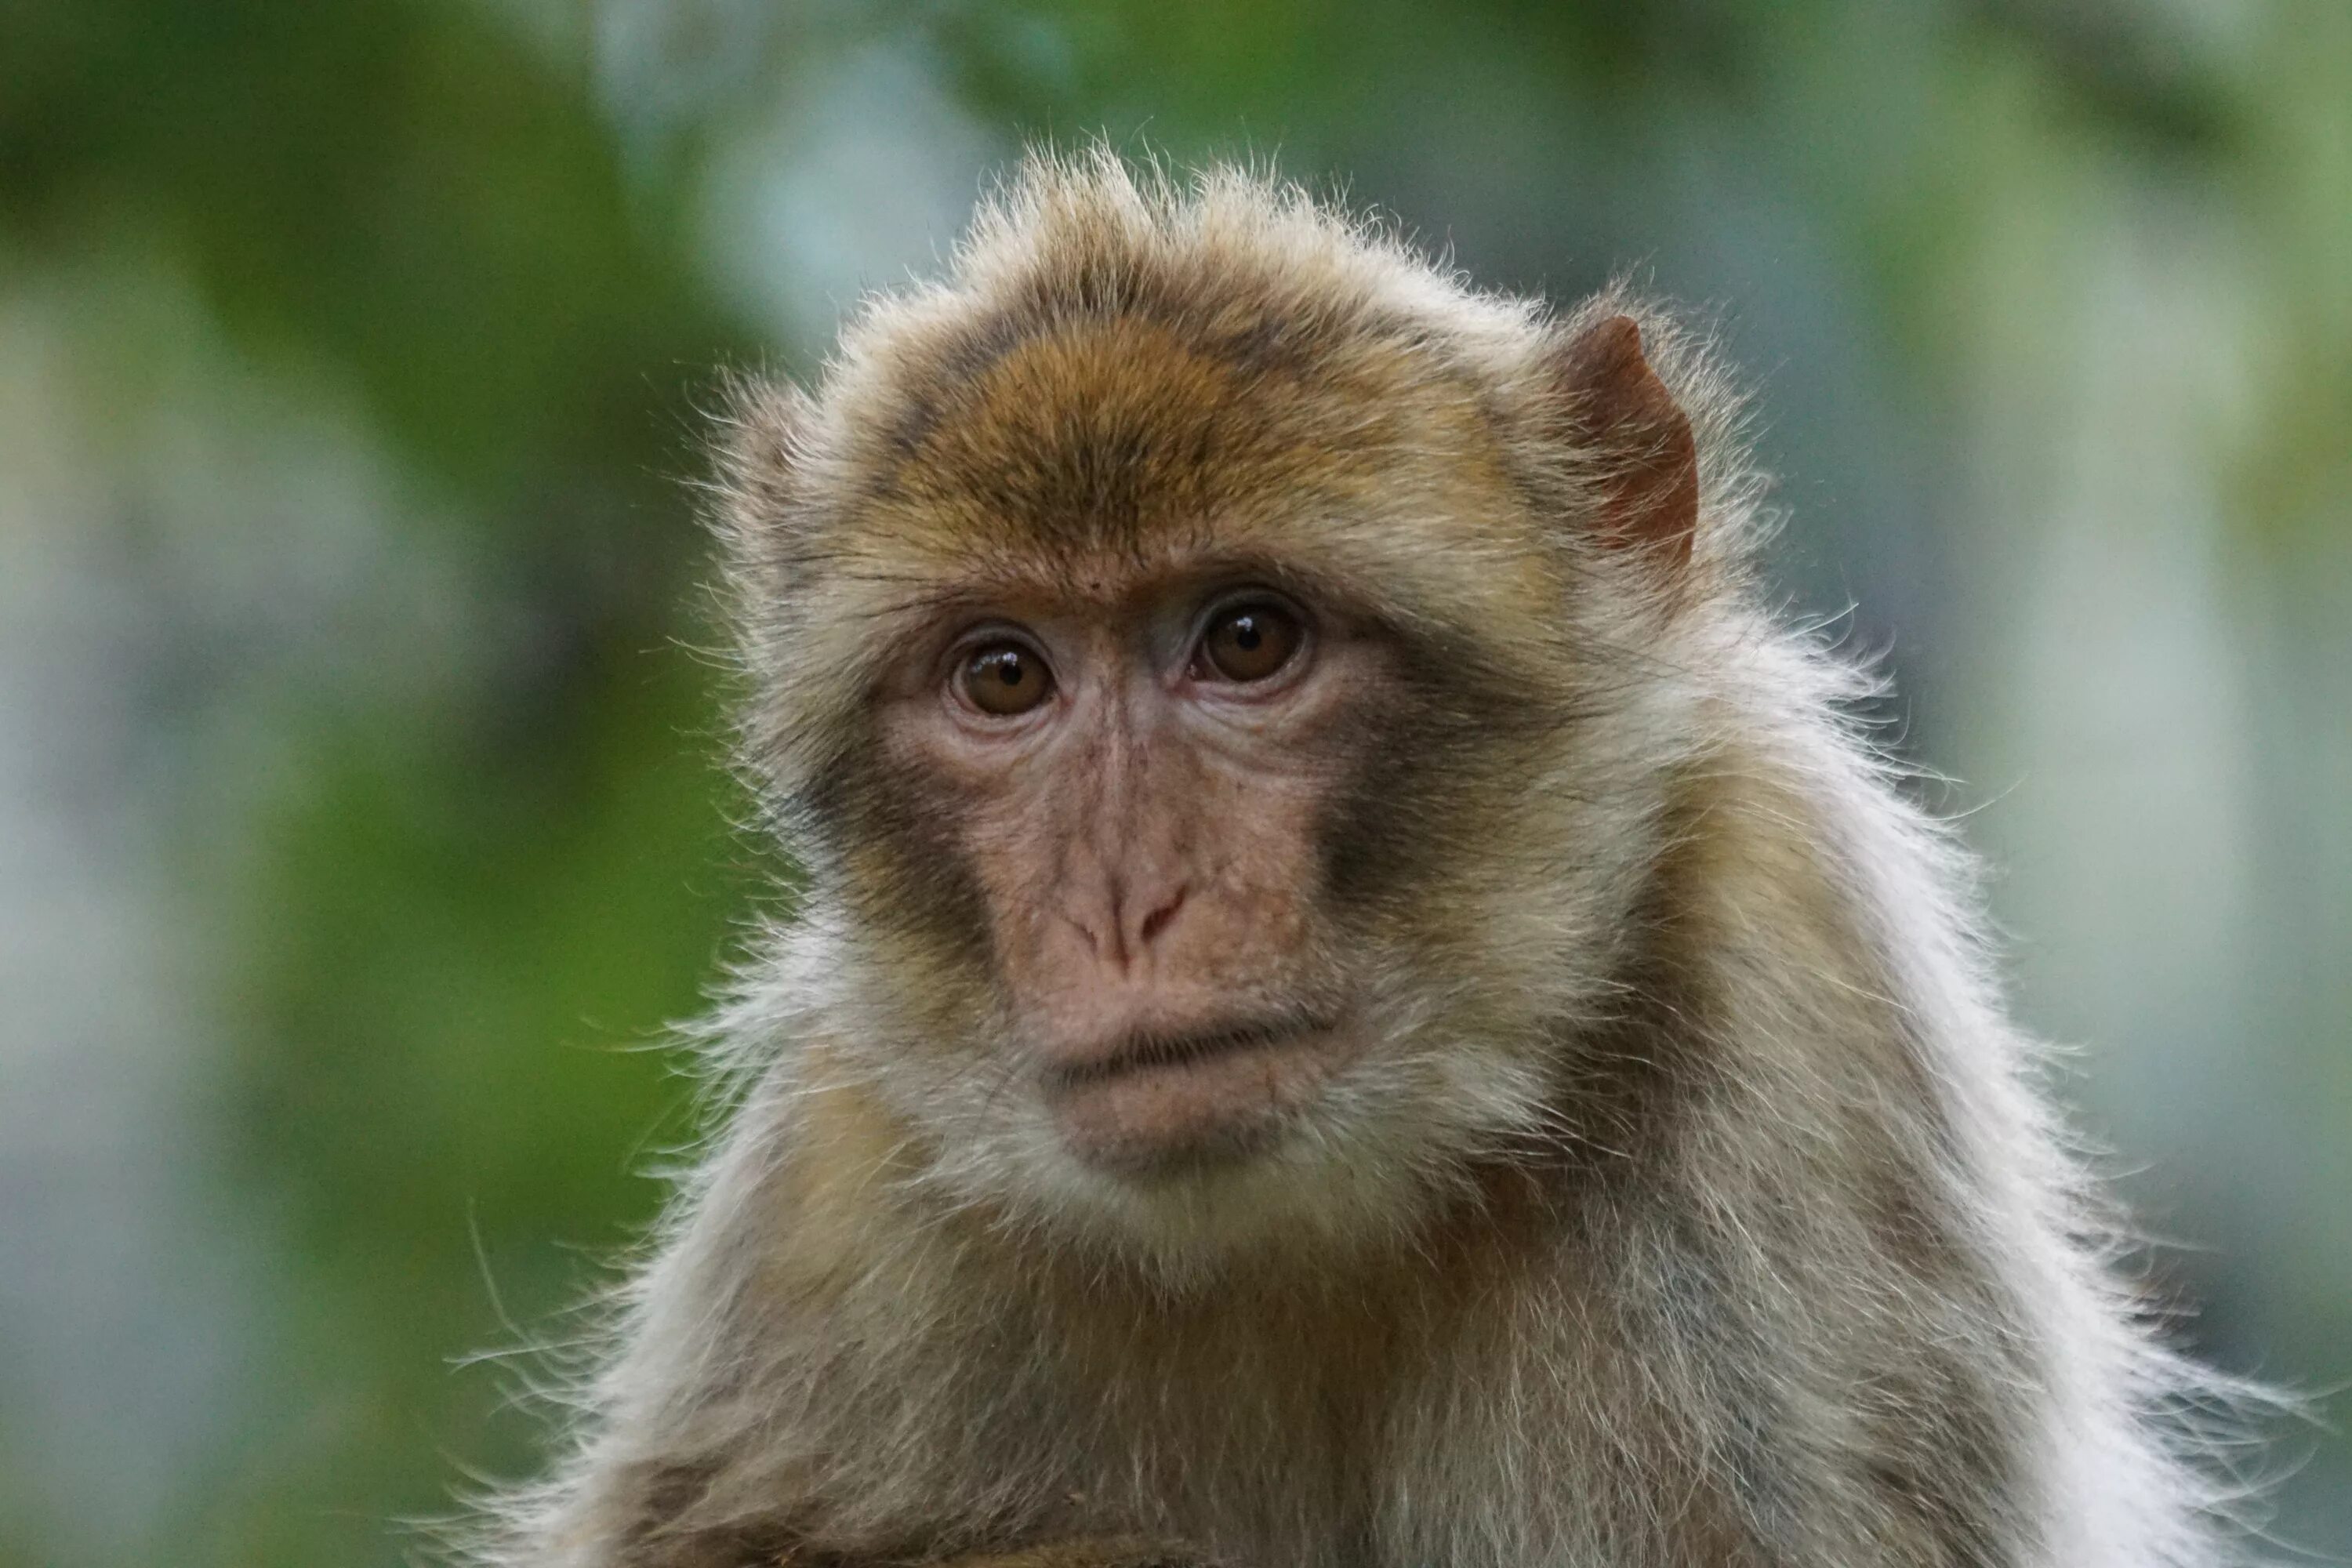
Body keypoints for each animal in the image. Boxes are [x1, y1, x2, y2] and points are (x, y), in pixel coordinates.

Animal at [468, 150, 2249, 1568]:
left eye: (1249, 639)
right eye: (1004, 677)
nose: (1127, 904)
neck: (1335, 1228)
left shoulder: (1797, 990)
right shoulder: (844, 1172)